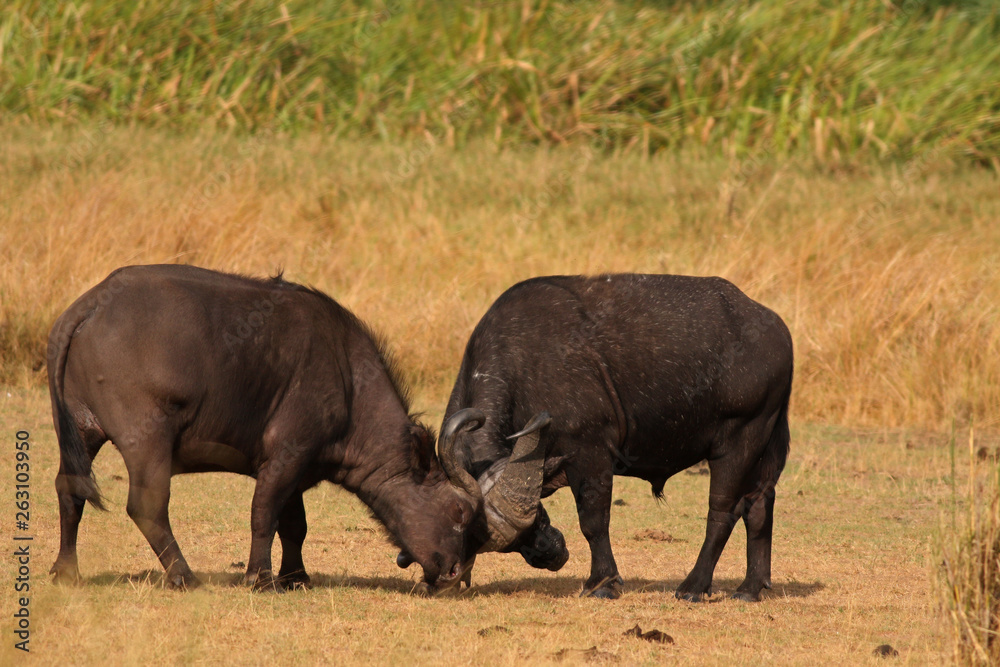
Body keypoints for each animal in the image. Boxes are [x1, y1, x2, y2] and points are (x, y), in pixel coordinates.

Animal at [47, 264, 532, 592]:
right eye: (460, 512)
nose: (454, 574)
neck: (348, 381)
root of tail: (92, 303)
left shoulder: (298, 468)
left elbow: (294, 524)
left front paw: (296, 576)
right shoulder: (285, 455)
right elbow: (264, 514)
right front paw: (260, 578)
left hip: (81, 432)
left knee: (70, 490)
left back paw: (66, 571)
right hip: (149, 441)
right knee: (147, 507)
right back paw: (184, 576)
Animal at [434, 274, 793, 601]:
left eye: (536, 516)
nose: (551, 555)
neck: (527, 361)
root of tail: (776, 328)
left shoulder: (590, 453)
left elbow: (593, 521)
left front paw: (602, 583)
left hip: (740, 439)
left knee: (723, 511)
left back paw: (693, 587)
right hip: (765, 445)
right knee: (760, 504)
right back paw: (749, 589)